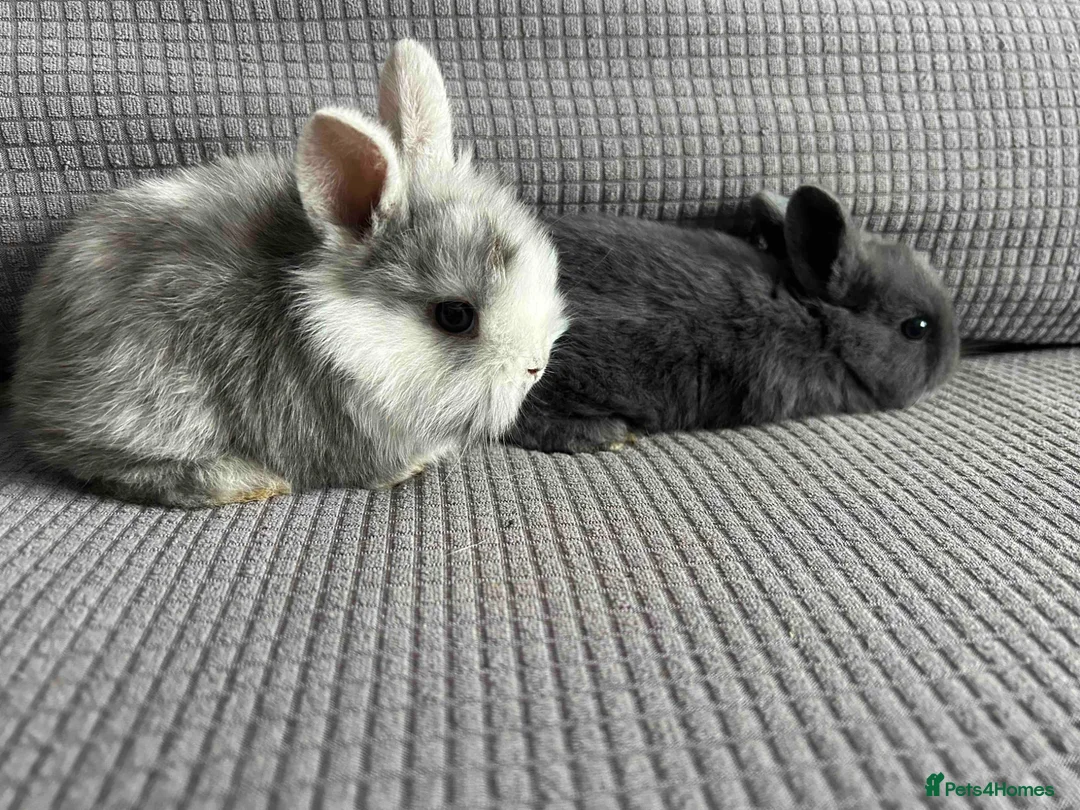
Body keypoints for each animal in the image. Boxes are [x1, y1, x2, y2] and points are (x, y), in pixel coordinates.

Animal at [10, 39, 567, 507]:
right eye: (455, 316)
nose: (536, 368)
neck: (340, 333)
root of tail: (33, 375)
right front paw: (416, 465)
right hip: (152, 400)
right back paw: (247, 481)